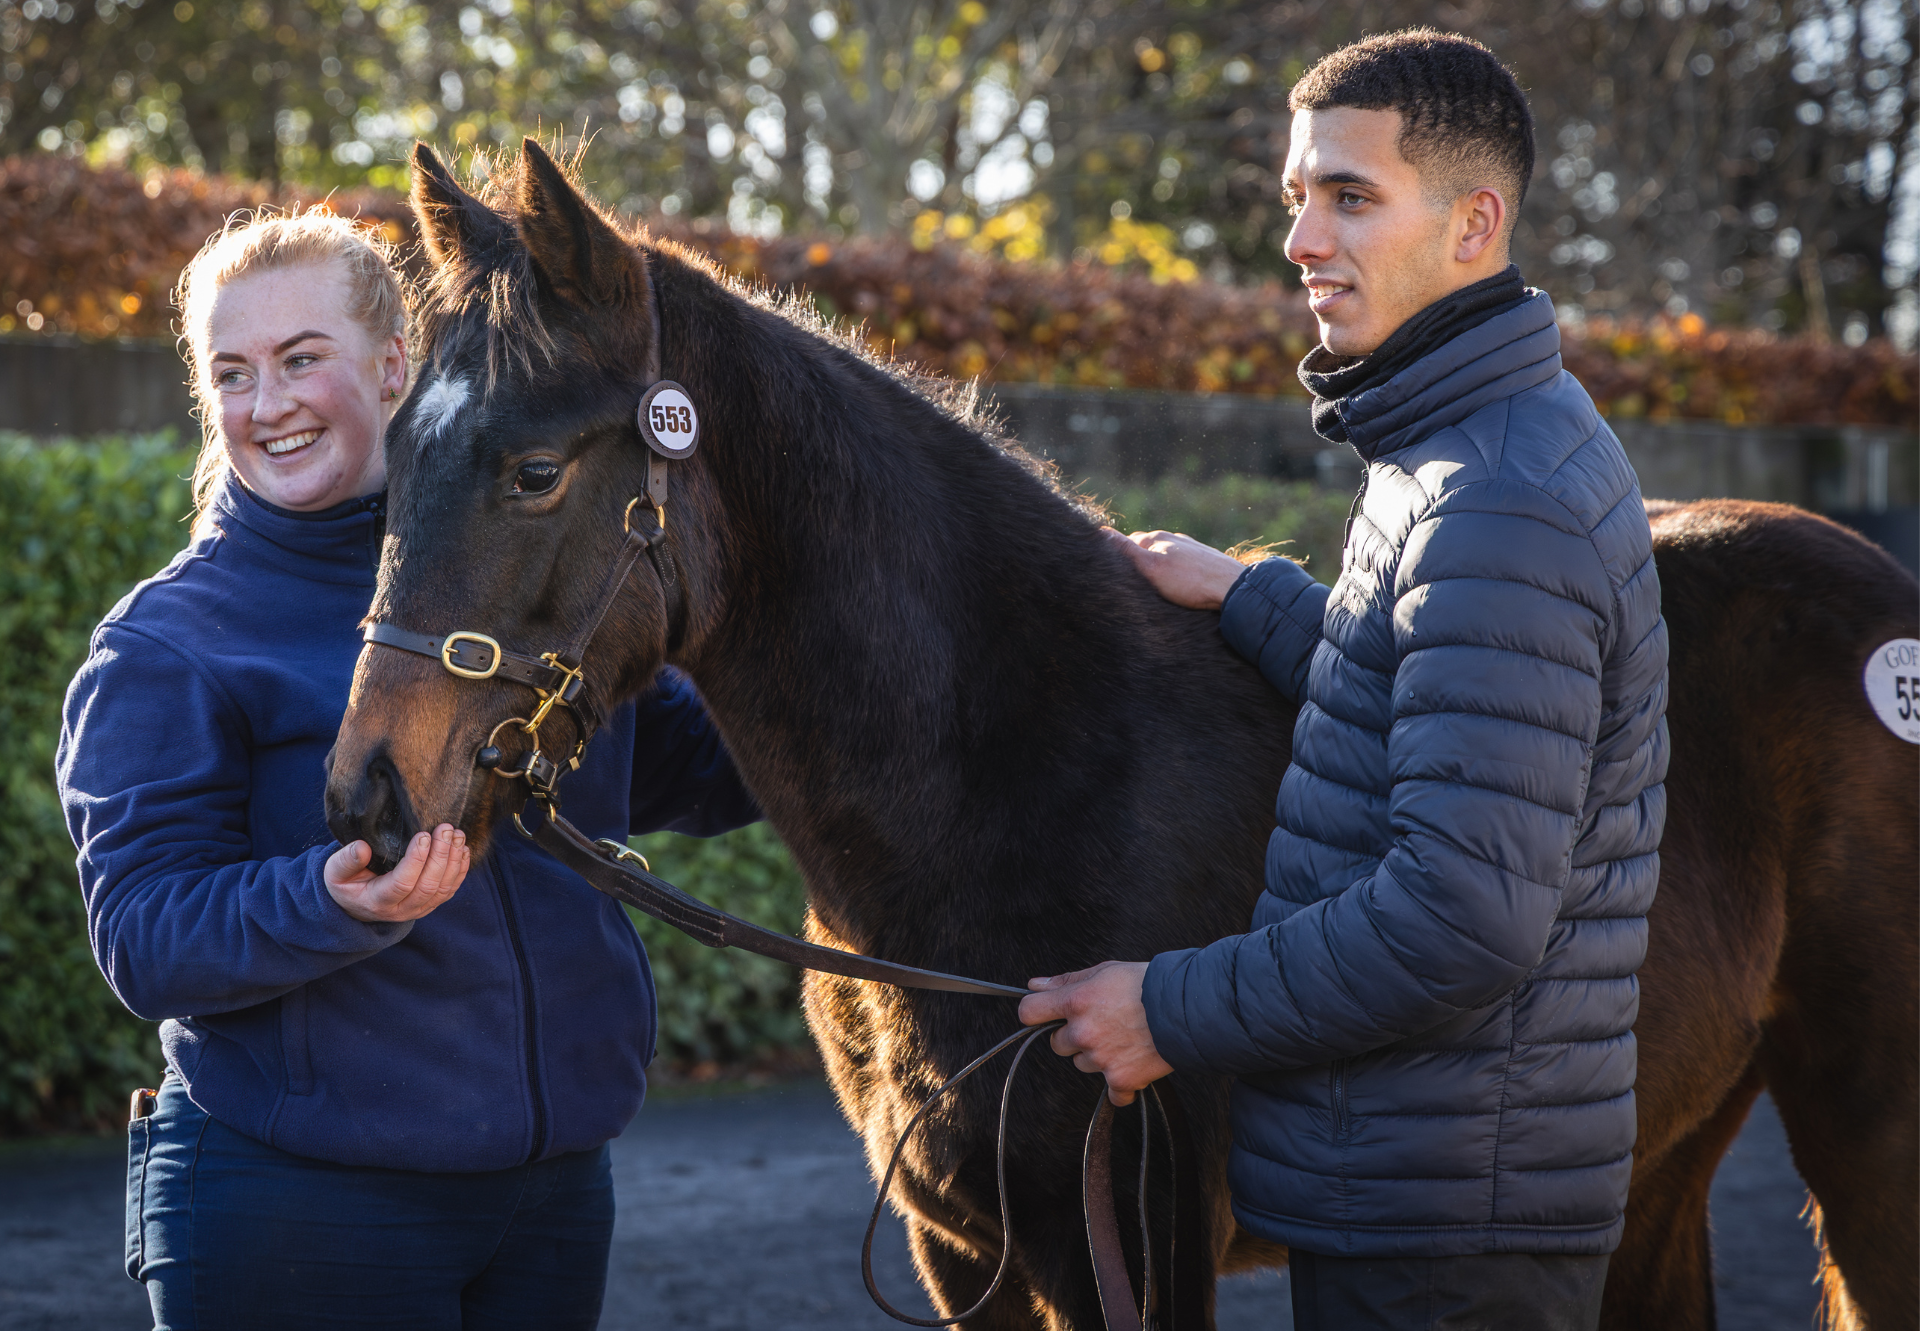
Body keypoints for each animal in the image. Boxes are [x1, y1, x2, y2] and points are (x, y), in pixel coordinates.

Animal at [324, 139, 1917, 1331]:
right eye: (394, 453)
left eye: (536, 470)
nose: (369, 794)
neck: (1018, 771)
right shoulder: (961, 1252)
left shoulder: (1131, 1238)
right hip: (1651, 1158)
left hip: (1865, 1134)